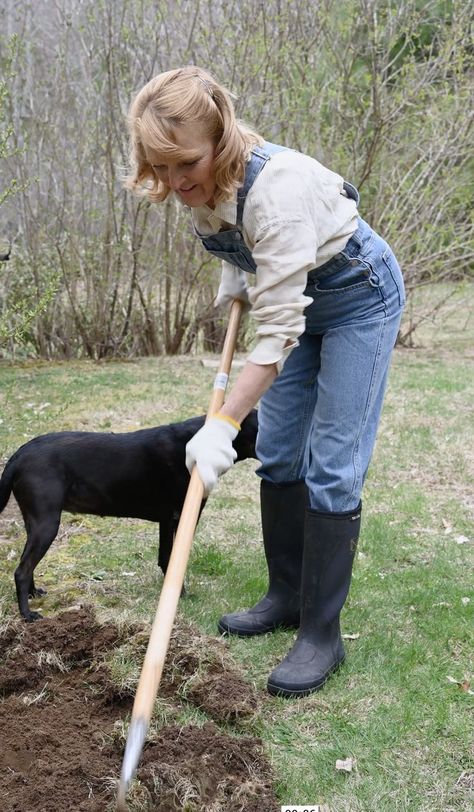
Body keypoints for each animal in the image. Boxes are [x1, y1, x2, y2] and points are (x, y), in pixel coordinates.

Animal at [0, 412, 258, 620]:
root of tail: (19, 455)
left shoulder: (167, 520)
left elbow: (165, 558)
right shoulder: (179, 518)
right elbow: (173, 561)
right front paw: (180, 597)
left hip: (35, 522)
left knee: (26, 564)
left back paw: (33, 594)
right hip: (47, 524)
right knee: (22, 571)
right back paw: (27, 615)